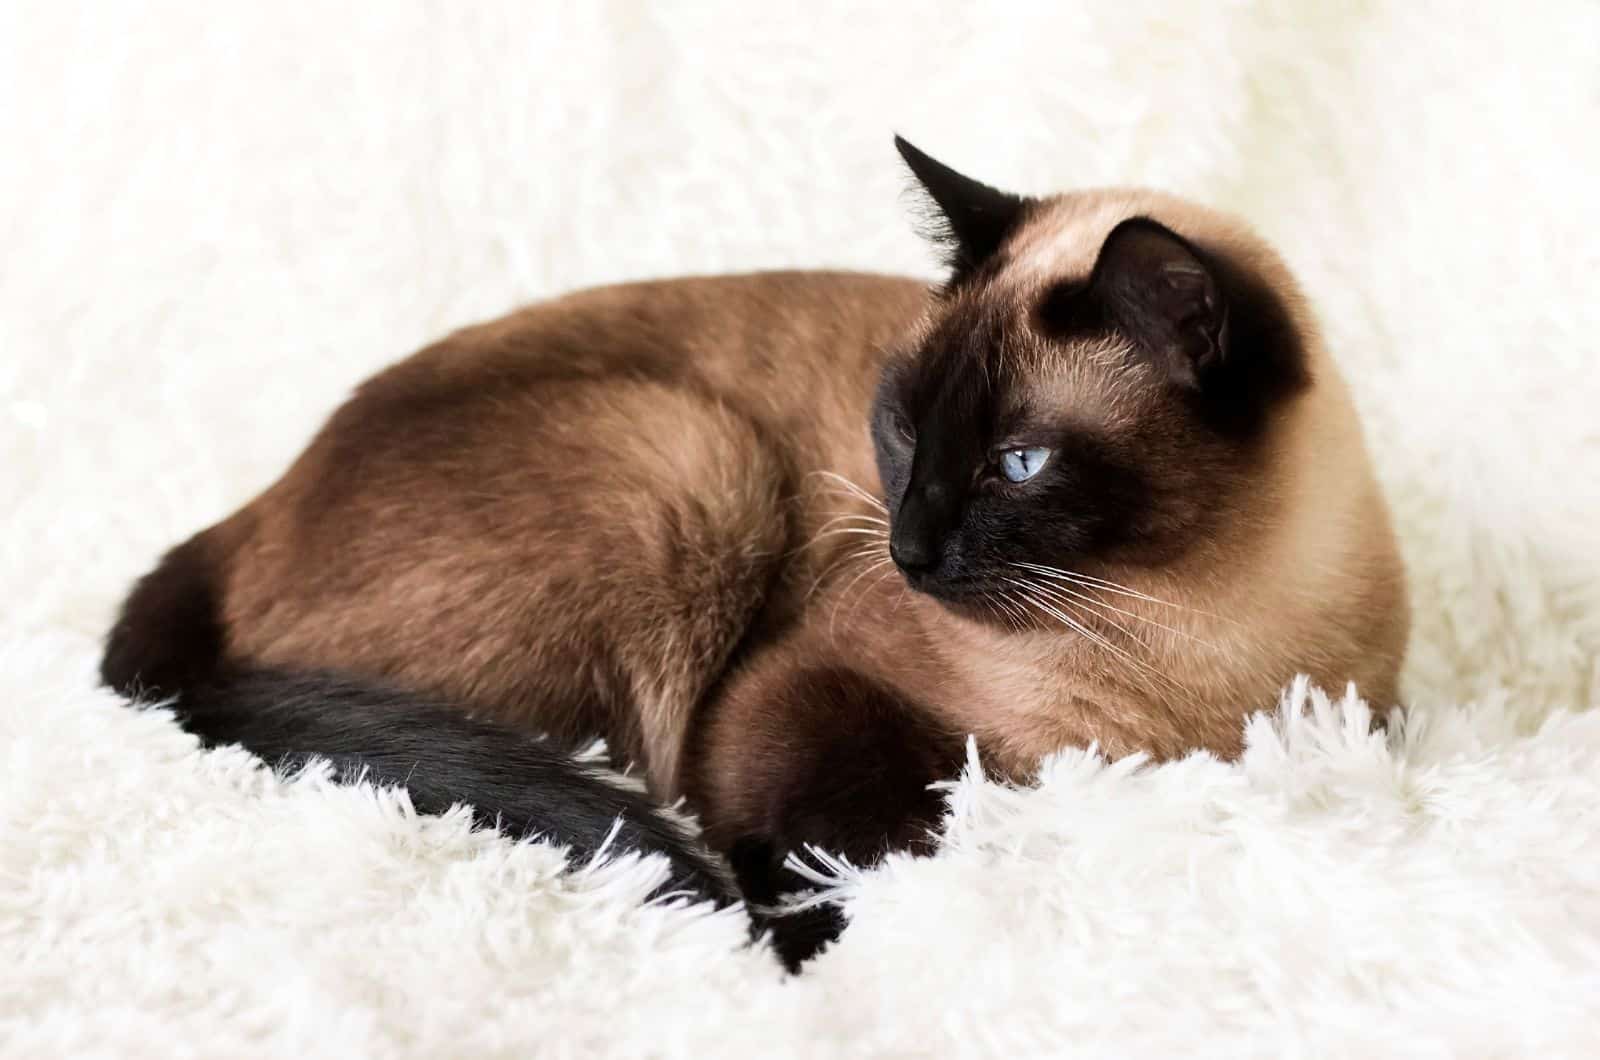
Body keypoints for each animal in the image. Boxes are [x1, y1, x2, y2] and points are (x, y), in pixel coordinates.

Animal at [100, 139, 1408, 973]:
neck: (1194, 650)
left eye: (1019, 464)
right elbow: (884, 823)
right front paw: (804, 933)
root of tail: (251, 502)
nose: (907, 547)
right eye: (900, 427)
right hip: (689, 461)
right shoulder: (794, 699)